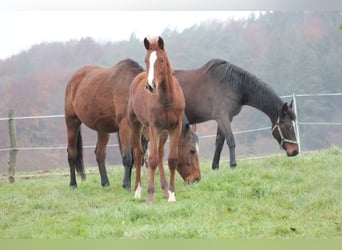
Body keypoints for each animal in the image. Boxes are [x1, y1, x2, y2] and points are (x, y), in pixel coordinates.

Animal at [64, 57, 200, 189]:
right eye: (192, 150)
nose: (196, 179)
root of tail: (73, 79)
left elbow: (137, 156)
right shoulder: (125, 127)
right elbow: (128, 157)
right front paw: (127, 184)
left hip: (102, 128)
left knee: (100, 154)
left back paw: (105, 183)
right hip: (72, 121)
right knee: (72, 153)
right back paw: (73, 184)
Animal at [128, 37, 186, 204]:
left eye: (161, 60)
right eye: (146, 60)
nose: (151, 85)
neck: (167, 99)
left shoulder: (175, 127)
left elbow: (172, 159)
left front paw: (172, 195)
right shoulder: (154, 127)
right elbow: (152, 159)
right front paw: (150, 197)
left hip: (163, 133)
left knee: (160, 154)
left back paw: (165, 190)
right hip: (135, 125)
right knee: (139, 154)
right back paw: (138, 191)